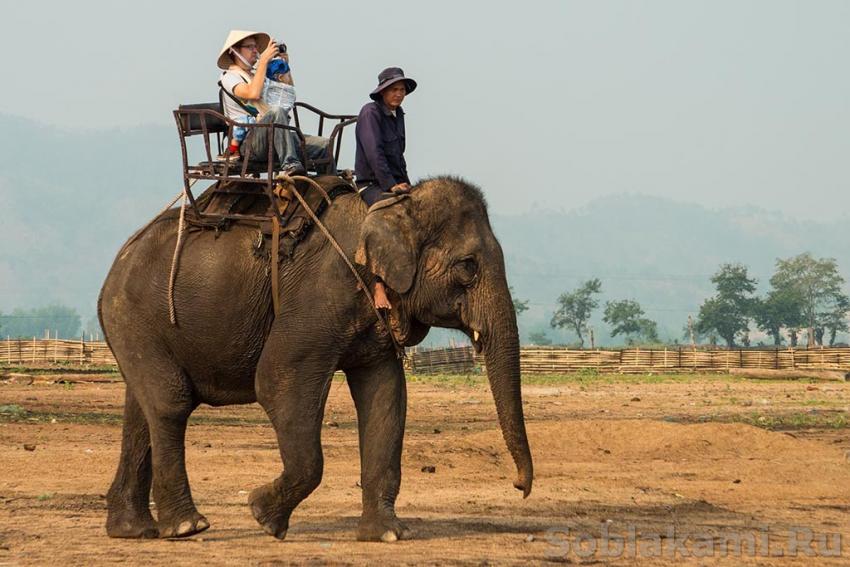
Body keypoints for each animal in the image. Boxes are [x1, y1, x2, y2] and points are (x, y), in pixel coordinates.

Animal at [101, 176, 528, 540]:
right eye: (468, 267)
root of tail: (117, 261)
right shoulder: (318, 296)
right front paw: (262, 516)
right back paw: (188, 527)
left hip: (139, 327)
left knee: (142, 409)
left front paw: (388, 535)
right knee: (170, 404)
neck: (387, 206)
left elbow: (386, 396)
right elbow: (277, 383)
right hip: (134, 316)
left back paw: (132, 530)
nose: (519, 486)